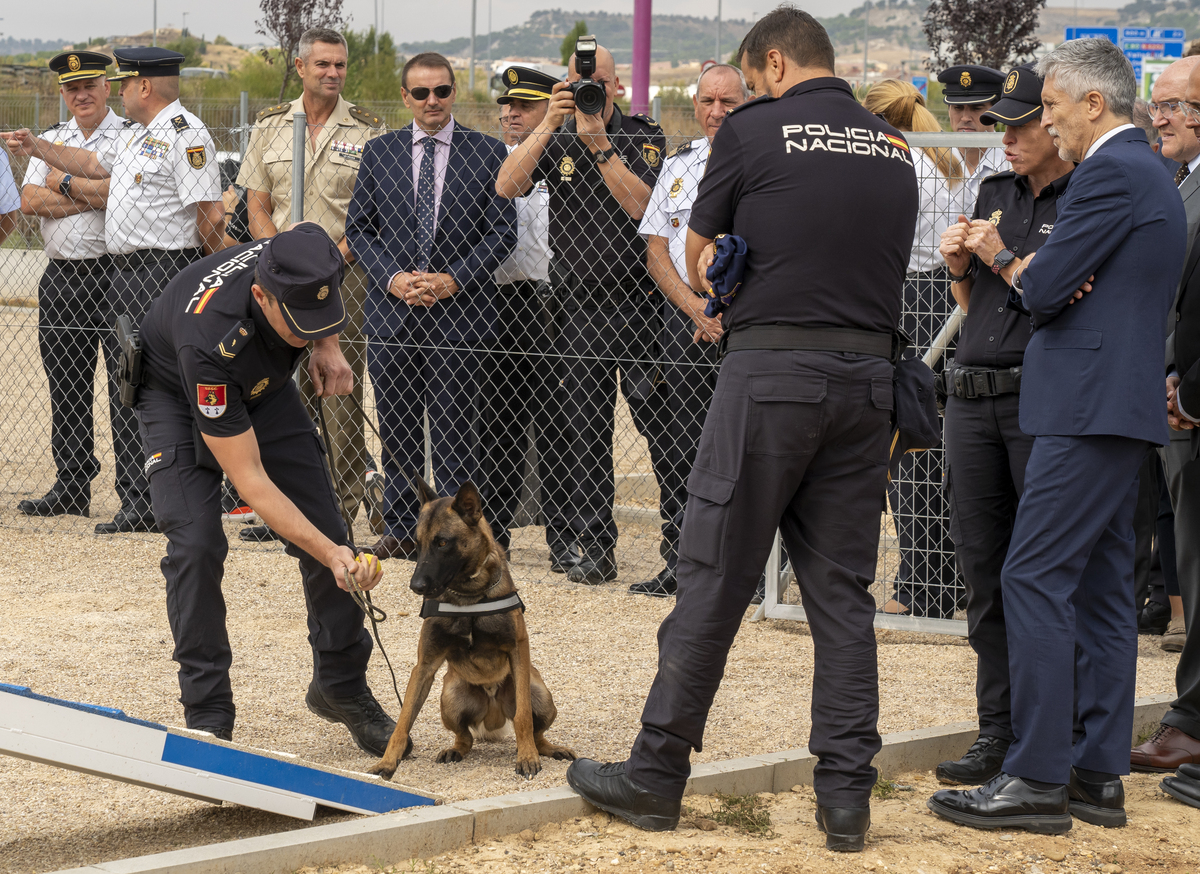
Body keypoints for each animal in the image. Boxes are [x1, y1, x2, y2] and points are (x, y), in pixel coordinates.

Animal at [369, 477, 576, 777]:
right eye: (417, 544)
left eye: (443, 542)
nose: (415, 586)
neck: (469, 597)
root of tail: (493, 713)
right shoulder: (424, 666)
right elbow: (403, 721)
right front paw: (387, 762)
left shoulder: (518, 650)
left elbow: (523, 717)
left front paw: (527, 756)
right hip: (450, 696)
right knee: (464, 737)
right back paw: (454, 750)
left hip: (540, 692)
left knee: (536, 731)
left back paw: (547, 748)